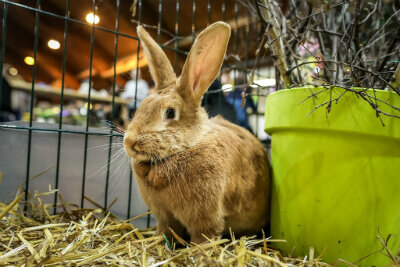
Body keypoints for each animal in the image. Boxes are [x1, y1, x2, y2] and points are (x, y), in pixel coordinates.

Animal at [123, 22, 270, 245]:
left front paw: (198, 249)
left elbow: (204, 235)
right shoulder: (164, 216)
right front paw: (162, 242)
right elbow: (166, 230)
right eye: (142, 106)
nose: (130, 142)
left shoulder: (205, 217)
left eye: (170, 112)